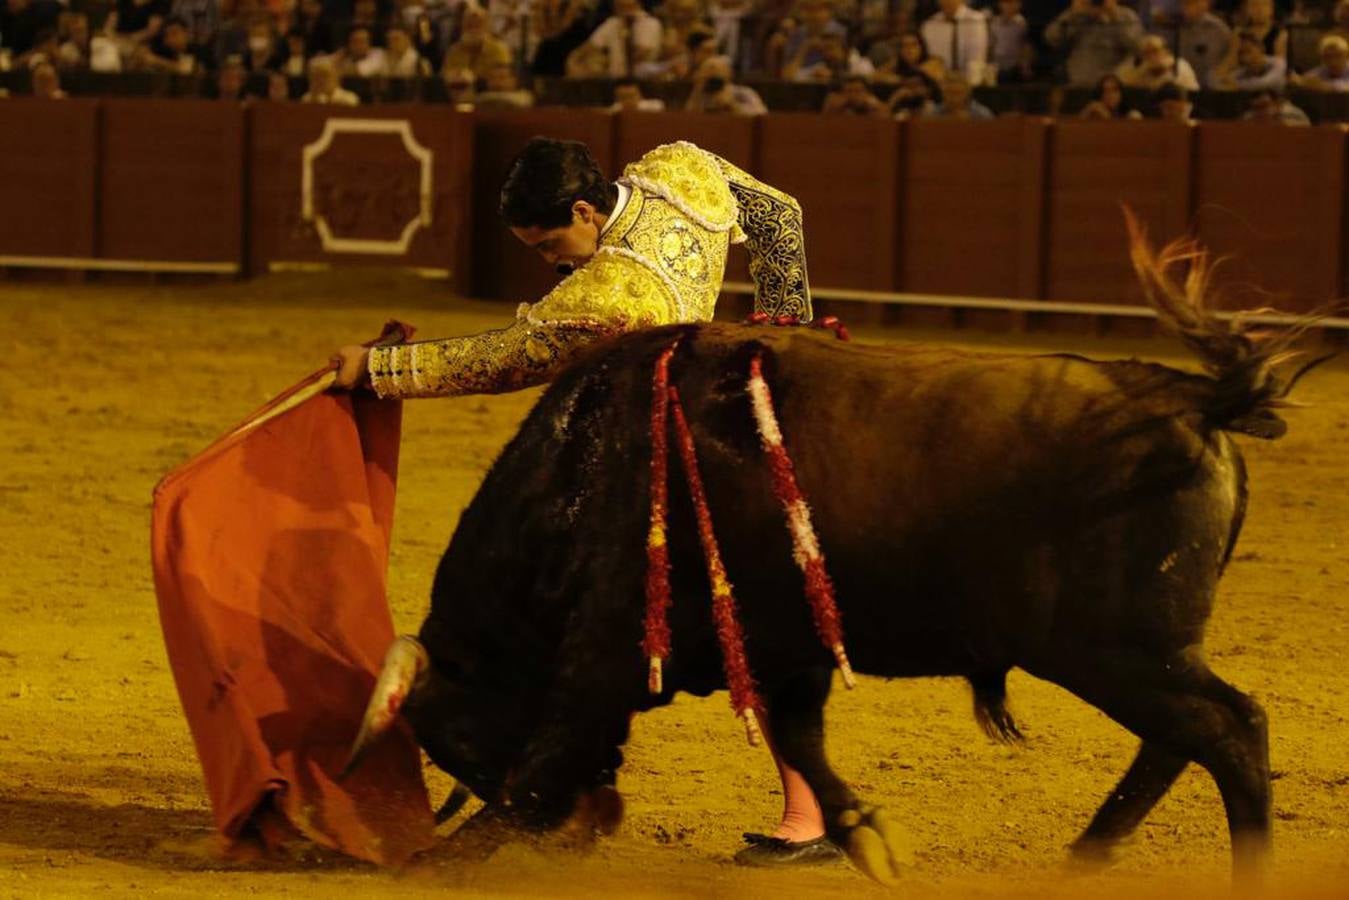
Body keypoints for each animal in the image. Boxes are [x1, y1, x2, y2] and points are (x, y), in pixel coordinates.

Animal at [348, 242, 1316, 885]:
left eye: (452, 737)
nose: (585, 828)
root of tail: (1197, 398)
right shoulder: (787, 647)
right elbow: (800, 739)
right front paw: (862, 834)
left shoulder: (608, 648)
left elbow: (547, 756)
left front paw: (442, 858)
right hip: (1136, 657)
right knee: (1180, 739)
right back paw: (1085, 855)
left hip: (1117, 651)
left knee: (1231, 730)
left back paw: (1243, 873)